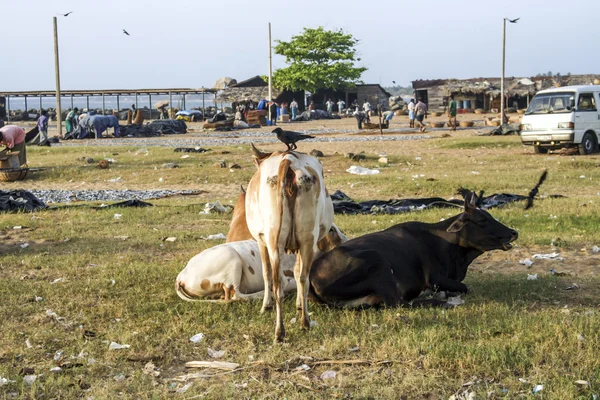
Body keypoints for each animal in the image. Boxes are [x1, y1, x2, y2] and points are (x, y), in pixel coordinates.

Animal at [246, 148, 336, 342]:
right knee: (301, 277)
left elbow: (266, 272)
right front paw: (299, 305)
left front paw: (266, 306)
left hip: (276, 240)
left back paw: (285, 329)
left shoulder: (260, 239)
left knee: (280, 280)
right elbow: (295, 272)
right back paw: (298, 324)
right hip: (306, 239)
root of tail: (287, 159)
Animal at [308, 191, 516, 306]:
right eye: (482, 220)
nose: (513, 232)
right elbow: (464, 287)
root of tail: (312, 277)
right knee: (398, 303)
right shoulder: (435, 278)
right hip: (377, 261)